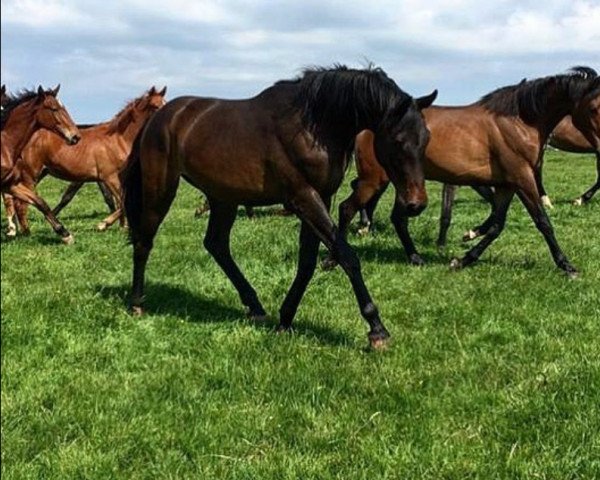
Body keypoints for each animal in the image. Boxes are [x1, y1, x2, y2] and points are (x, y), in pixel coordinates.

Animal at [0, 85, 80, 242]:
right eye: (54, 109)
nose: (76, 136)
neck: (5, 145)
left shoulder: (10, 184)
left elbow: (40, 202)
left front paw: (65, 234)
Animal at [9, 87, 168, 234]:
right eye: (155, 106)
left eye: (165, 103)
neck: (119, 139)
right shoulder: (109, 178)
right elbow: (121, 202)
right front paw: (104, 224)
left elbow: (121, 201)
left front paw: (123, 226)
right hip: (30, 175)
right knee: (20, 202)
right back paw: (25, 231)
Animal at [124, 65, 438, 346]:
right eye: (398, 140)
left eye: (426, 139)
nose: (416, 203)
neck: (313, 125)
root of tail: (160, 117)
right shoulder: (303, 198)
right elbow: (346, 256)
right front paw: (376, 328)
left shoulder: (319, 198)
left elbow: (307, 262)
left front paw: (285, 319)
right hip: (161, 189)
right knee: (144, 240)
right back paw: (137, 302)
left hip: (223, 197)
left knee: (216, 244)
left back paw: (254, 306)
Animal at [330, 67, 600, 278]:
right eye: (594, 108)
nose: (599, 144)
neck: (519, 122)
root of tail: (364, 127)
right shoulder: (522, 179)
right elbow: (543, 222)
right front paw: (567, 266)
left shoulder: (507, 184)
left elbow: (497, 225)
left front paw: (462, 258)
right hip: (376, 179)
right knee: (347, 208)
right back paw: (336, 257)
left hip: (403, 184)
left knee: (397, 218)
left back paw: (415, 257)